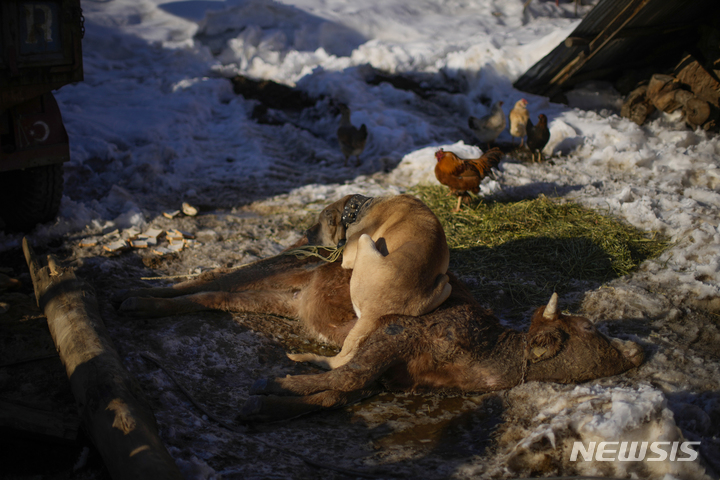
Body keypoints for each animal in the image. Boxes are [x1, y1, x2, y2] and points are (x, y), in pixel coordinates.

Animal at [288, 193, 450, 370]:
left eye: (320, 223)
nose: (306, 232)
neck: (357, 209)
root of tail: (374, 310)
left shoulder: (350, 252)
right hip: (445, 284)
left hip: (364, 240)